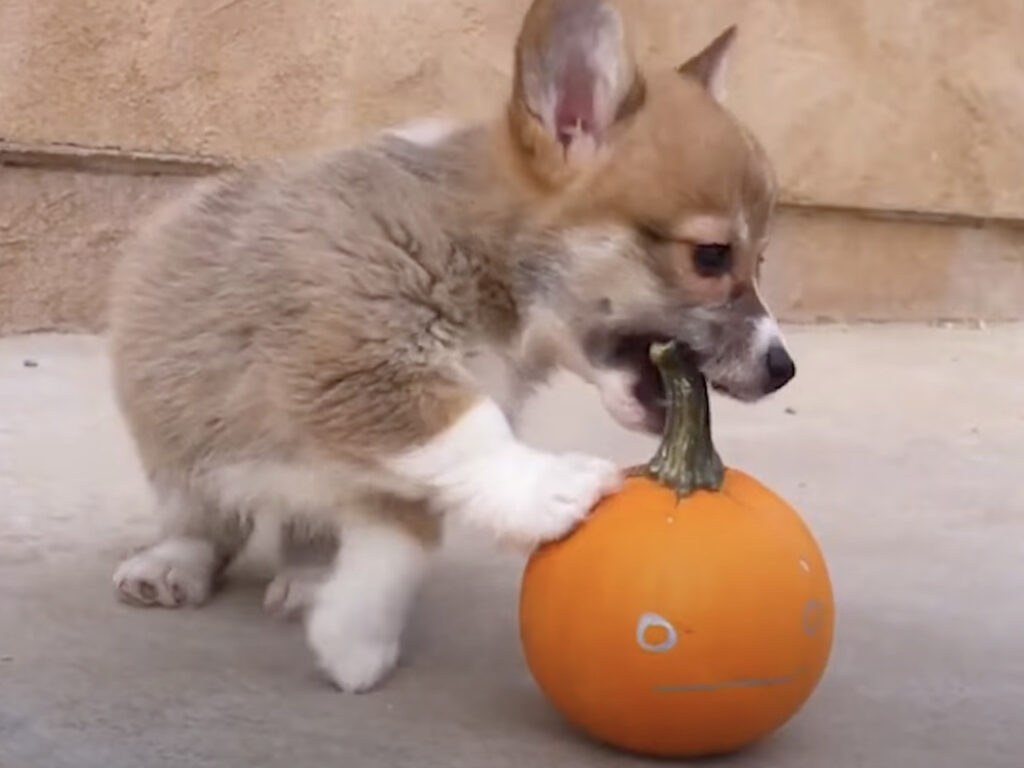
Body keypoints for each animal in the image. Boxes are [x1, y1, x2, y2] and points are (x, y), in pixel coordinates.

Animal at [108, 0, 795, 693]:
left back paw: (310, 579)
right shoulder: (351, 369)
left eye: (762, 260)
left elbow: (405, 541)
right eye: (711, 256)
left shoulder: (390, 466)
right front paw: (551, 488)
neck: (483, 256)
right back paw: (171, 565)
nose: (783, 369)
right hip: (176, 436)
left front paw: (352, 637)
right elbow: (473, 432)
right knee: (205, 517)